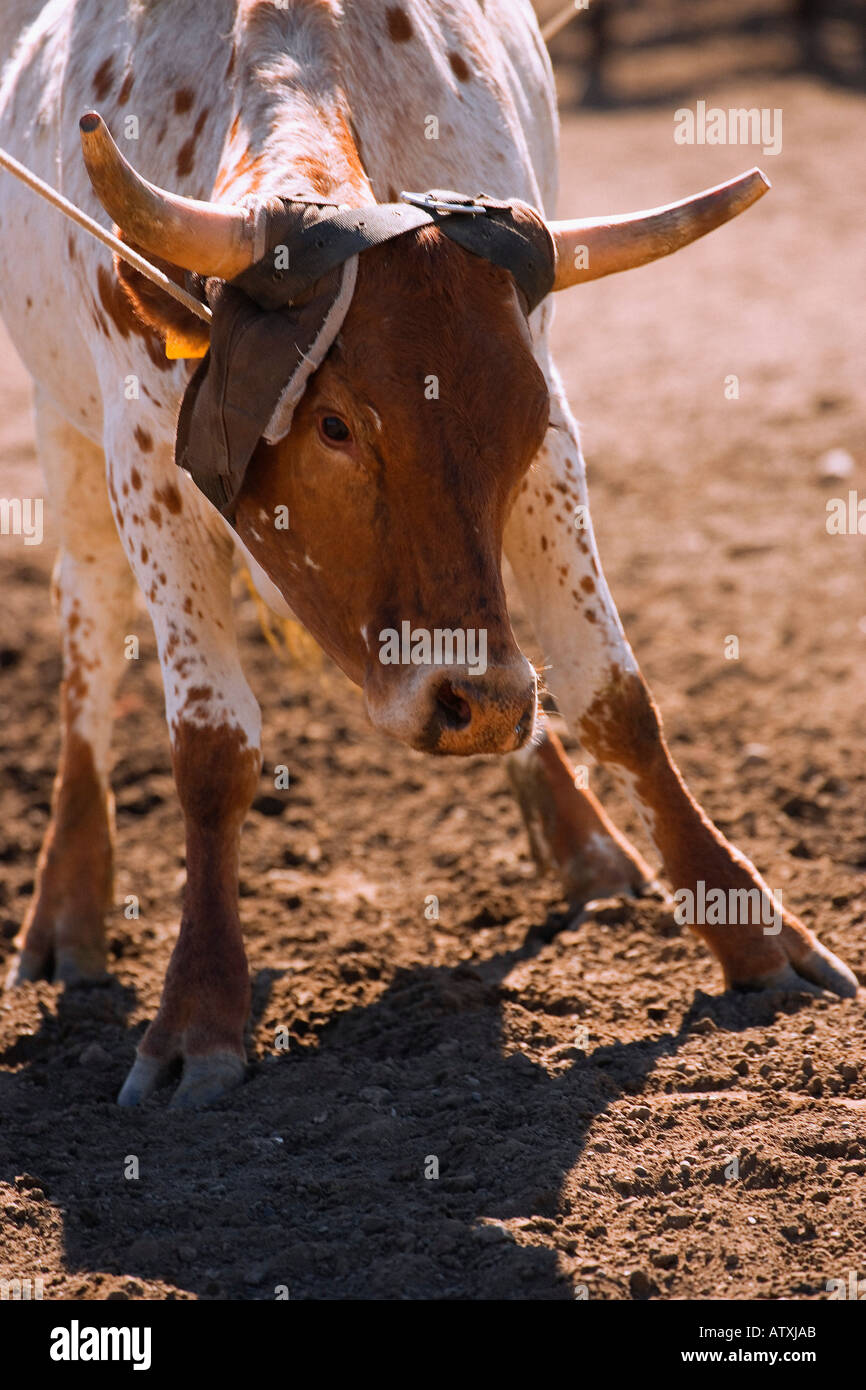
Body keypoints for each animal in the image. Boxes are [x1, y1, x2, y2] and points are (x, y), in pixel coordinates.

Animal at [0, 0, 856, 1108]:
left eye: (520, 419)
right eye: (332, 424)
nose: (472, 702)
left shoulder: (555, 433)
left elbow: (611, 695)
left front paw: (748, 926)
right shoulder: (142, 443)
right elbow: (211, 748)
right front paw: (196, 1016)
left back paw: (581, 840)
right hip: (61, 423)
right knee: (89, 635)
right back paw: (68, 902)